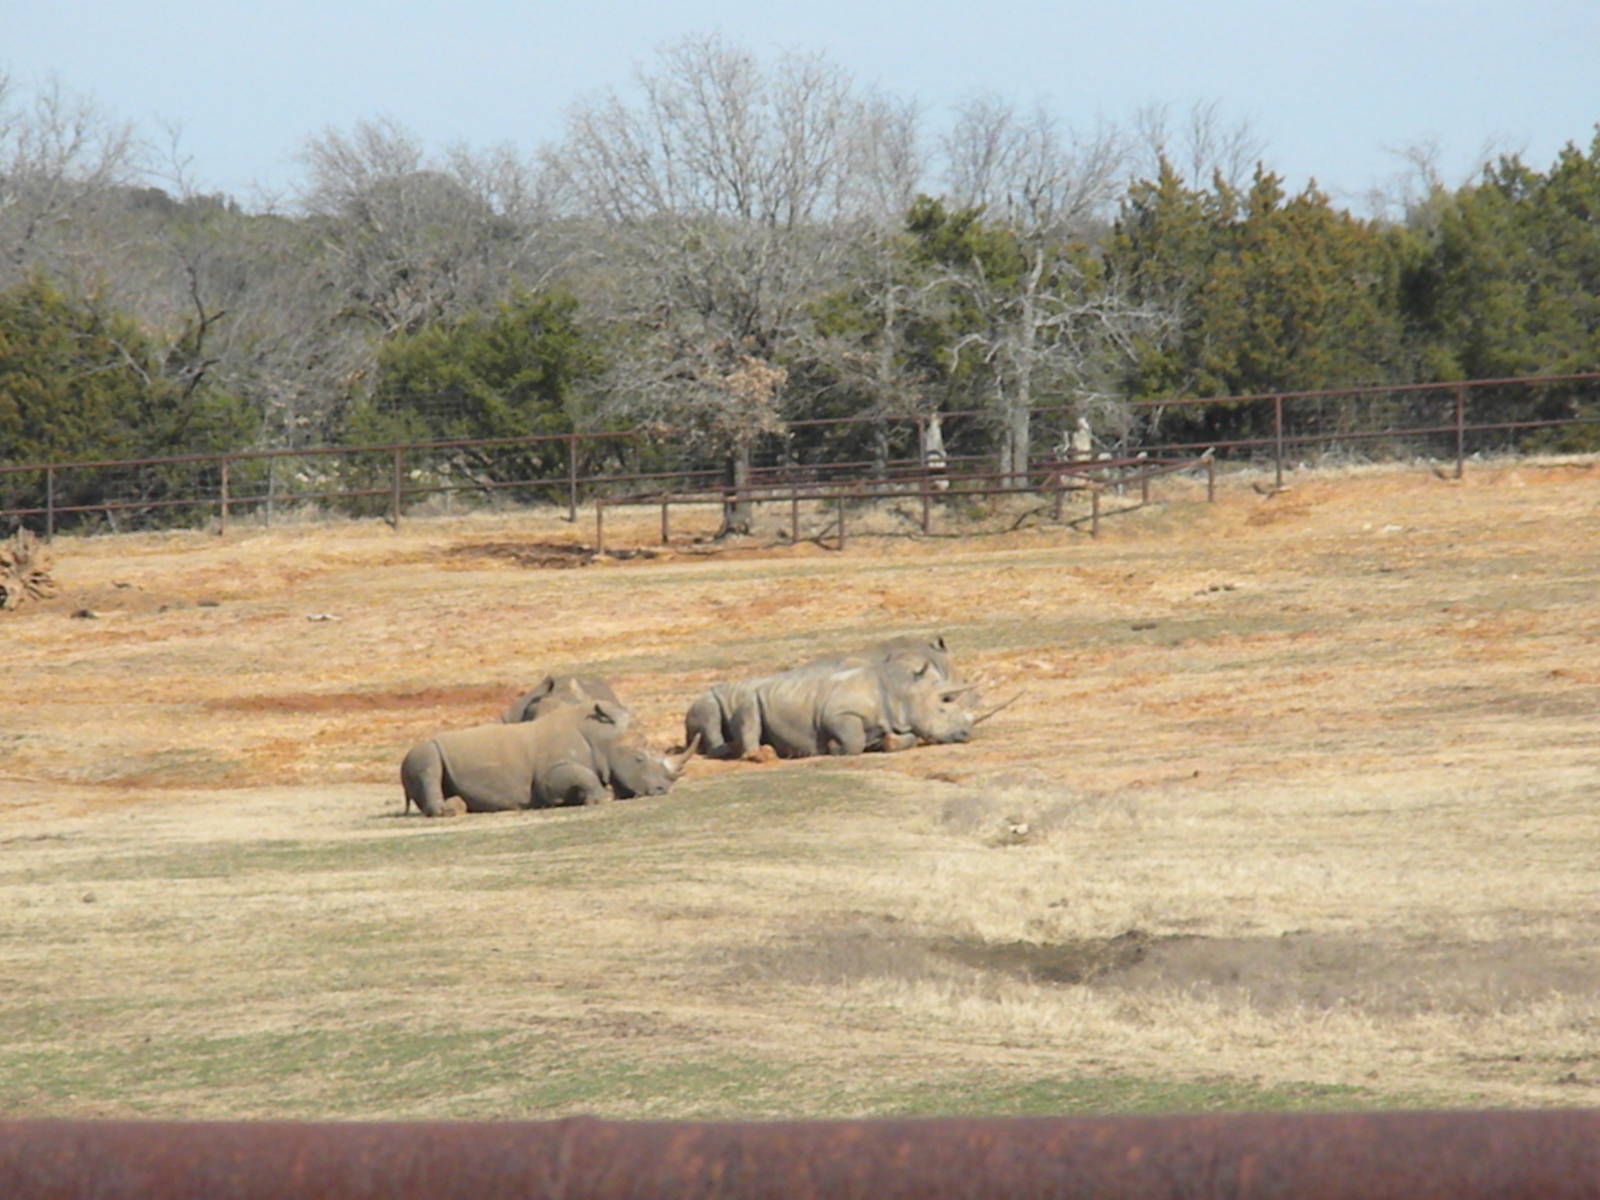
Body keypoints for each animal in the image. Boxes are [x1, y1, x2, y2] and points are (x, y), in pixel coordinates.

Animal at [401, 700, 696, 816]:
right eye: (639, 759)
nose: (662, 789)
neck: (600, 737)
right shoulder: (550, 774)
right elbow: (578, 776)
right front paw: (602, 798)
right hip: (419, 752)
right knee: (428, 761)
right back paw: (447, 812)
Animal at [684, 659, 976, 760]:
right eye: (942, 710)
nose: (967, 734)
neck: (901, 688)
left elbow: (909, 737)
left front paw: (888, 743)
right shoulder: (838, 714)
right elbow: (852, 739)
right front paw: (834, 749)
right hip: (714, 698)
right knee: (727, 710)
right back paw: (745, 754)